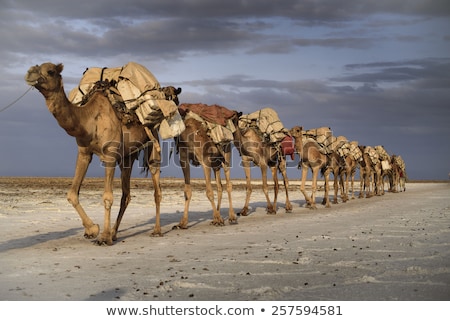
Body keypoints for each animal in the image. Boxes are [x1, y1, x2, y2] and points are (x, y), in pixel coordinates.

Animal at [25, 61, 178, 244]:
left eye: (50, 71)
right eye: (36, 66)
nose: (30, 73)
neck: (89, 120)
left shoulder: (110, 155)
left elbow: (107, 197)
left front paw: (103, 237)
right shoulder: (84, 153)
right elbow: (72, 194)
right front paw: (92, 230)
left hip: (152, 139)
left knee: (156, 187)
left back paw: (156, 230)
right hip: (127, 156)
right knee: (126, 195)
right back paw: (114, 232)